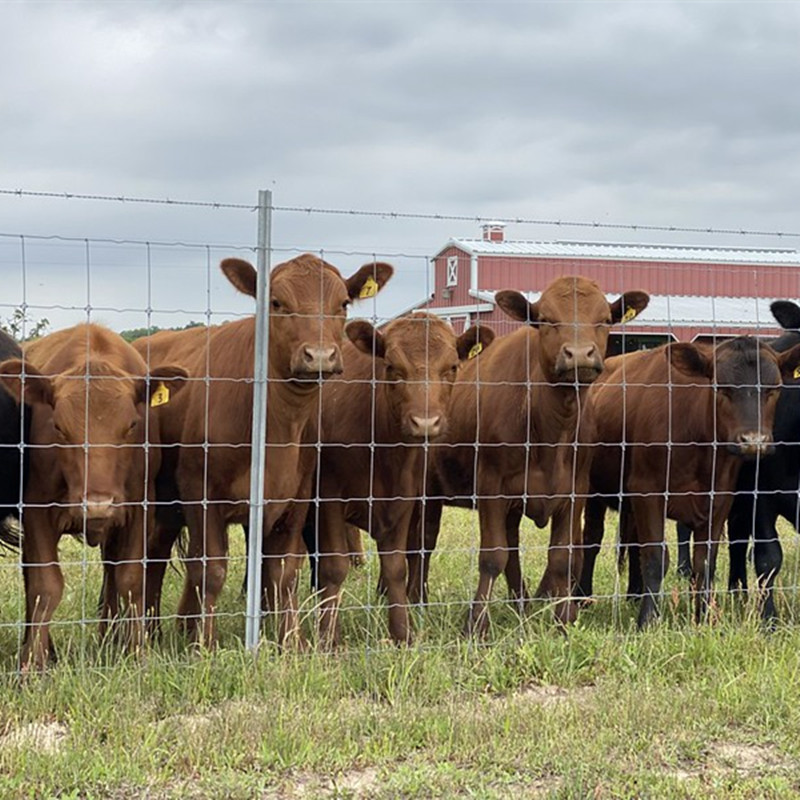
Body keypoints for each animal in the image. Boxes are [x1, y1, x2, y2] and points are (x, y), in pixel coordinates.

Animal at [0, 324, 187, 670]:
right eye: (59, 427)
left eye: (132, 425)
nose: (97, 504)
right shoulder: (36, 511)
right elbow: (45, 585)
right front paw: (33, 664)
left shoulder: (139, 508)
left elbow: (131, 580)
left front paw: (137, 653)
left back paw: (107, 639)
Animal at [134, 254, 393, 647]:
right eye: (276, 302)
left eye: (343, 304)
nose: (319, 355)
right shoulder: (200, 491)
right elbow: (212, 569)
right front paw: (204, 645)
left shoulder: (296, 497)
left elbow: (282, 571)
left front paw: (291, 642)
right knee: (155, 556)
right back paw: (151, 629)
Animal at [303, 312, 494, 647]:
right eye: (392, 367)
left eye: (452, 367)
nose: (425, 422)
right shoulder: (328, 497)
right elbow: (334, 566)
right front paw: (327, 638)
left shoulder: (404, 499)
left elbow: (396, 566)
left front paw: (402, 633)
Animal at [406, 277, 650, 636]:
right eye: (546, 320)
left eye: (604, 319)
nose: (579, 354)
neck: (551, 428)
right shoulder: (492, 488)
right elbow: (492, 555)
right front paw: (476, 624)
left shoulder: (574, 490)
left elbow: (562, 556)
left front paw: (563, 621)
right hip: (426, 491)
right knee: (422, 542)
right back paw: (415, 600)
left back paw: (520, 602)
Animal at [576, 336, 800, 628]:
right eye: (720, 387)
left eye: (774, 388)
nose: (754, 442)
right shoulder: (649, 492)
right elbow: (656, 558)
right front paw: (648, 620)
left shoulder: (719, 501)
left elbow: (704, 563)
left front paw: (704, 617)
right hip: (594, 490)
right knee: (591, 540)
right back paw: (582, 596)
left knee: (633, 542)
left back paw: (634, 594)